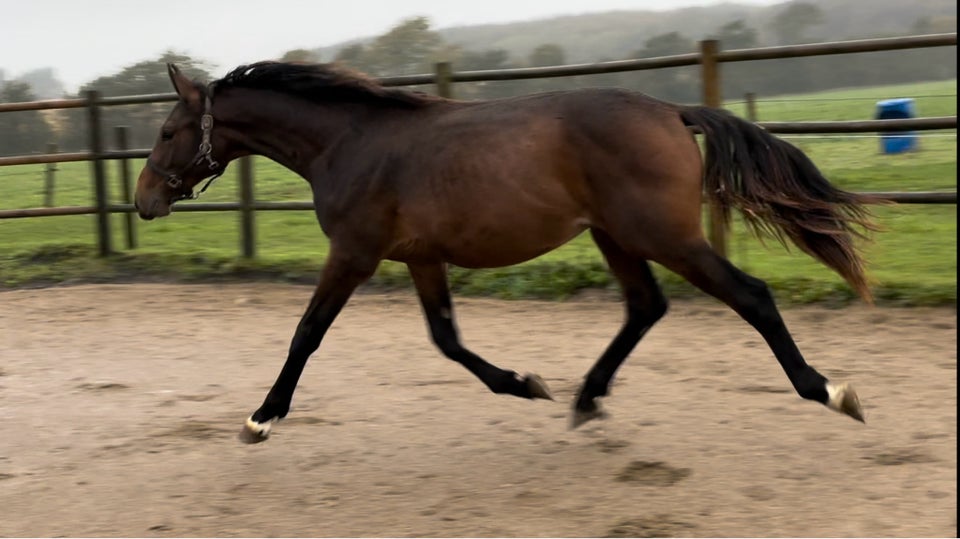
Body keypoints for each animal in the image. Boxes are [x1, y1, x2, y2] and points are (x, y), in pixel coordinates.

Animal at [137, 62, 876, 442]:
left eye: (170, 130)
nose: (143, 200)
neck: (349, 142)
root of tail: (672, 110)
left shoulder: (355, 252)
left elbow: (307, 332)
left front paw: (261, 418)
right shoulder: (419, 256)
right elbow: (447, 340)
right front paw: (525, 383)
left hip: (662, 235)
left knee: (750, 296)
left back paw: (830, 390)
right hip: (616, 235)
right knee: (645, 305)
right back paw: (586, 398)